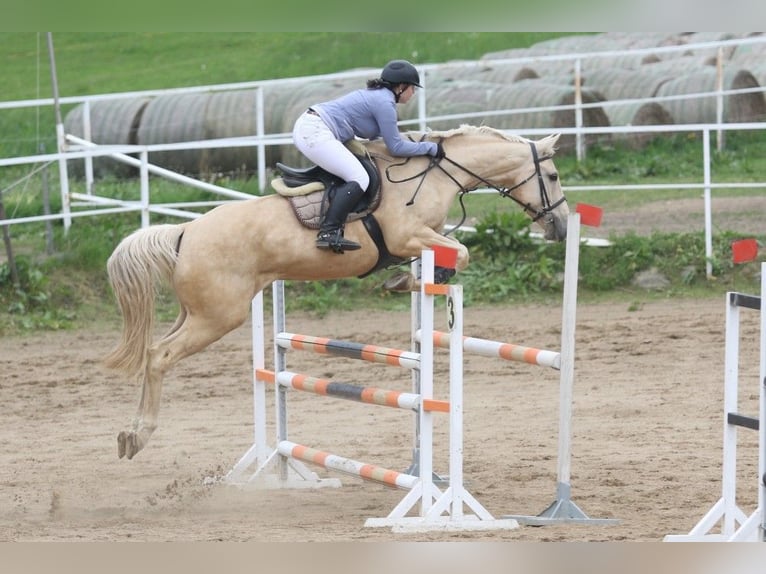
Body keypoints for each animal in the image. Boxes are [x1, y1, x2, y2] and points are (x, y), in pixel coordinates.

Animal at [103, 124, 568, 462]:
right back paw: (138, 435)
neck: (433, 174)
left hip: (196, 312)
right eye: (553, 175)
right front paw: (413, 279)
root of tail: (185, 232)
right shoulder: (408, 235)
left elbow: (448, 255)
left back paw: (128, 433)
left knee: (152, 352)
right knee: (160, 356)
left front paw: (405, 281)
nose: (561, 227)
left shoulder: (420, 239)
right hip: (218, 315)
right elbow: (462, 253)